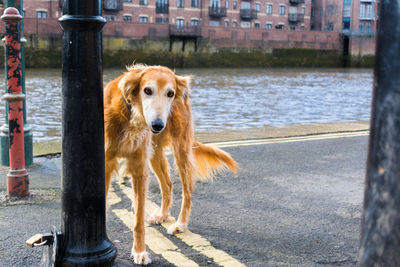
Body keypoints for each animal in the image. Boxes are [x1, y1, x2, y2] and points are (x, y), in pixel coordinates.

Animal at [103, 65, 238, 266]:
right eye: (147, 90)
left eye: (170, 93)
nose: (158, 125)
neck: (129, 114)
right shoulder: (105, 164)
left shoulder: (139, 168)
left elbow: (138, 220)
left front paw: (140, 252)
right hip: (155, 153)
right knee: (167, 184)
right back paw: (163, 215)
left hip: (181, 151)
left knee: (187, 191)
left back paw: (180, 224)